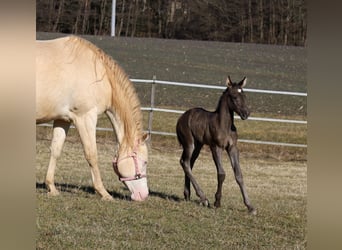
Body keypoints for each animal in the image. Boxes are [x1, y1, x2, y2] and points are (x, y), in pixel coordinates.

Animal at [35, 35, 149, 201]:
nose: (144, 195)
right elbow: (92, 154)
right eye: (145, 162)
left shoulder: (63, 119)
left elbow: (56, 150)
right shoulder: (85, 117)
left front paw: (52, 188)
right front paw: (104, 193)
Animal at [178, 75, 255, 214]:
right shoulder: (216, 147)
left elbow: (239, 174)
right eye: (234, 97)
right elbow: (221, 173)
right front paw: (217, 201)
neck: (224, 125)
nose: (246, 114)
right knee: (184, 162)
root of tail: (181, 118)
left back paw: (187, 194)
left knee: (189, 163)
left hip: (198, 145)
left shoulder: (232, 148)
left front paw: (250, 206)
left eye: (245, 96)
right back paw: (203, 198)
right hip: (189, 143)